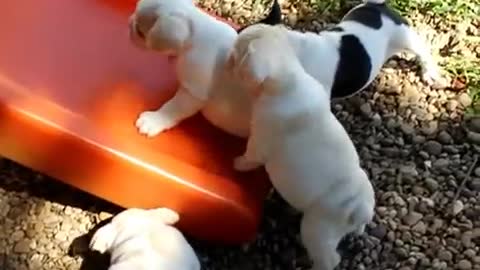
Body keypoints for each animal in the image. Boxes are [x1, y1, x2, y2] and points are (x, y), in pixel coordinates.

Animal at [229, 24, 376, 268]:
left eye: (236, 54)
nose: (227, 57)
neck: (289, 77)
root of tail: (361, 208)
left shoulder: (260, 140)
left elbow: (250, 157)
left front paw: (237, 164)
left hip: (317, 230)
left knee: (329, 259)